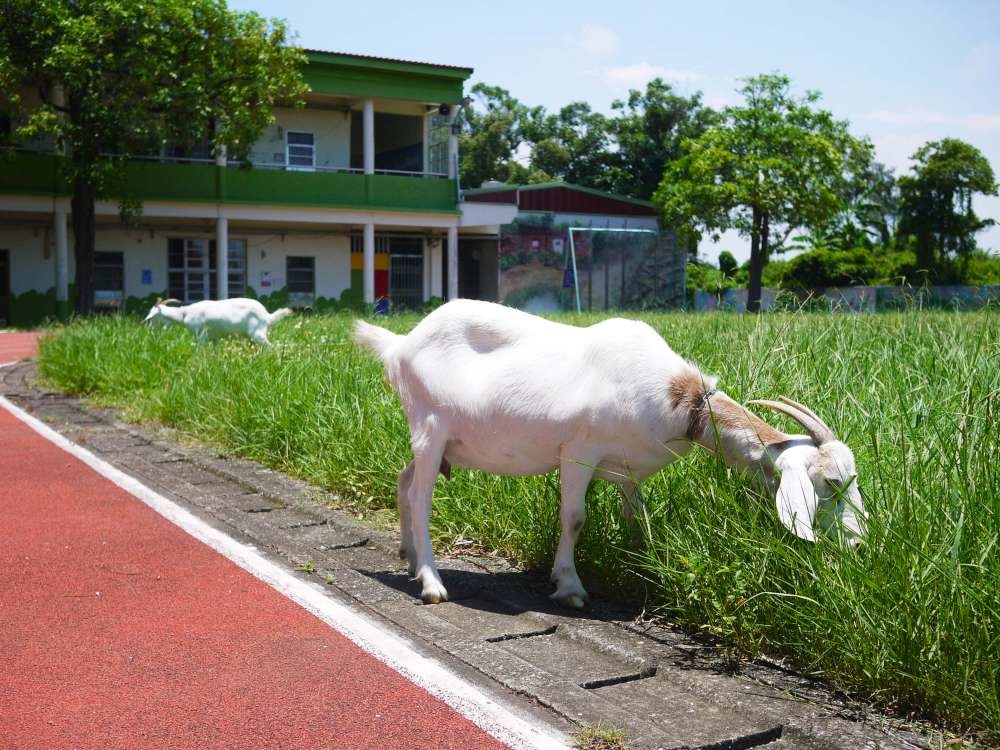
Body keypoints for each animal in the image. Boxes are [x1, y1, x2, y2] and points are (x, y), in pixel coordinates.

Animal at [145, 298, 292, 348]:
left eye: (152, 318)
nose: (149, 329)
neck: (184, 314)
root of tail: (267, 316)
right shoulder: (214, 338)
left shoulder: (201, 336)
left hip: (258, 334)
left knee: (270, 347)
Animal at [358, 296, 868, 608]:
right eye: (831, 483)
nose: (860, 543)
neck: (683, 400)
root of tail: (399, 345)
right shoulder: (579, 451)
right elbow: (574, 518)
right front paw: (569, 586)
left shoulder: (628, 470)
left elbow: (636, 519)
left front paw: (650, 570)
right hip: (430, 425)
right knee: (421, 496)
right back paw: (431, 581)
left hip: (437, 440)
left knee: (404, 480)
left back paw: (409, 558)